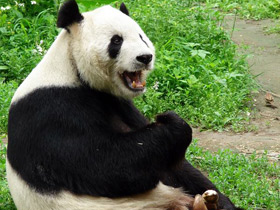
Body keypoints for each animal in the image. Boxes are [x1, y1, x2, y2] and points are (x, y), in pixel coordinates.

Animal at [6, 0, 241, 210]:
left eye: (141, 37)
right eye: (116, 41)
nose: (145, 57)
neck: (72, 68)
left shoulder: (118, 102)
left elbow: (175, 166)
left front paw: (224, 202)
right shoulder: (51, 111)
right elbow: (106, 164)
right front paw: (172, 123)